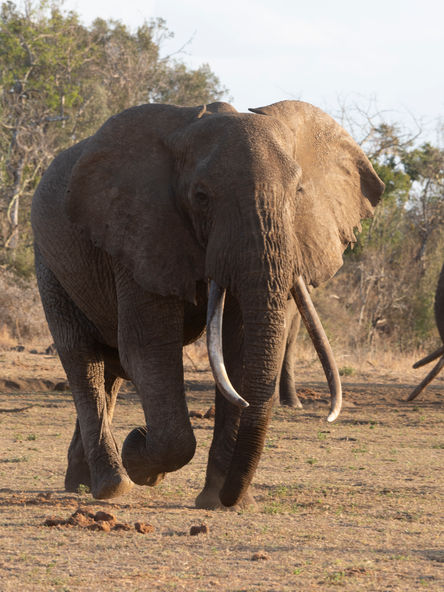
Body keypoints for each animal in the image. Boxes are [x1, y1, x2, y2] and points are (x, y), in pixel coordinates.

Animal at [31, 100, 384, 509]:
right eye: (201, 196)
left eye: (298, 191)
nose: (233, 497)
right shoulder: (141, 233)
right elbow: (149, 351)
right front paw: (141, 455)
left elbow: (238, 353)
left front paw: (218, 501)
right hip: (49, 261)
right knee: (82, 357)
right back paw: (112, 485)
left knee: (109, 367)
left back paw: (81, 483)